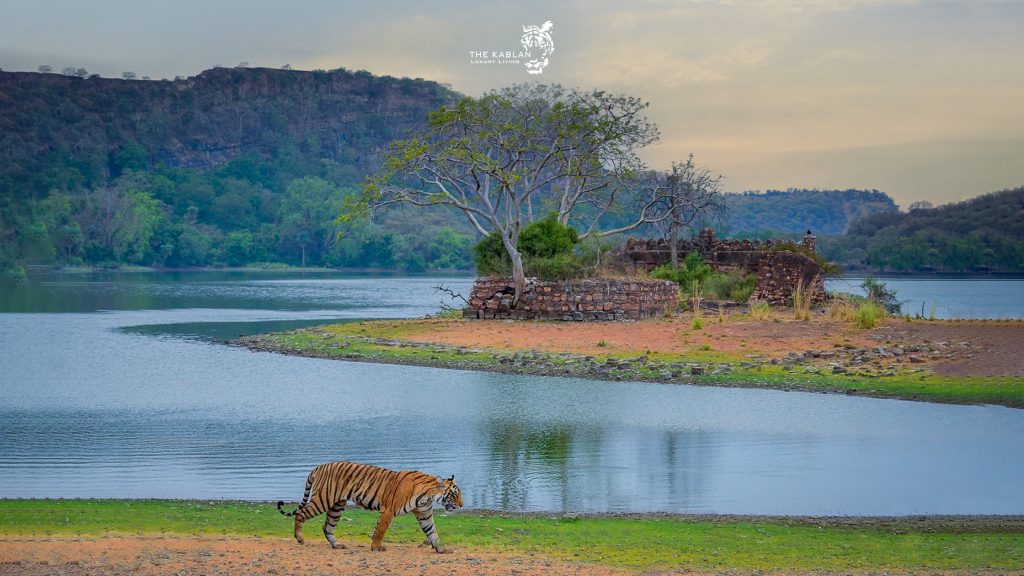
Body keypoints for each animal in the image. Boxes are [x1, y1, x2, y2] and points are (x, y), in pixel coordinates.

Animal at [277, 460, 463, 553]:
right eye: (455, 494)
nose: (461, 505)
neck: (427, 496)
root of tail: (318, 467)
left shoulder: (424, 513)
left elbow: (433, 532)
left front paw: (441, 549)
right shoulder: (388, 510)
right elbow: (380, 530)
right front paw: (376, 547)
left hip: (337, 506)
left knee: (327, 527)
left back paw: (336, 546)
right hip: (323, 500)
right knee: (301, 513)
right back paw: (300, 538)